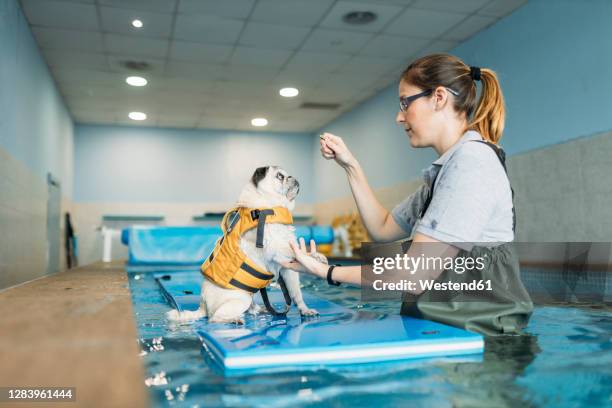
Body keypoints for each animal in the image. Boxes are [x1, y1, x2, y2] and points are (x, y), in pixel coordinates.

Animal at [165, 167, 322, 326]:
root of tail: (203, 303)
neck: (270, 206)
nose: (292, 177)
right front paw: (314, 256)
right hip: (242, 299)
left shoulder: (287, 269)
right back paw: (234, 319)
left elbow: (296, 293)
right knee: (214, 318)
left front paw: (304, 309)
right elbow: (297, 252)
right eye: (280, 176)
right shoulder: (277, 250)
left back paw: (259, 310)